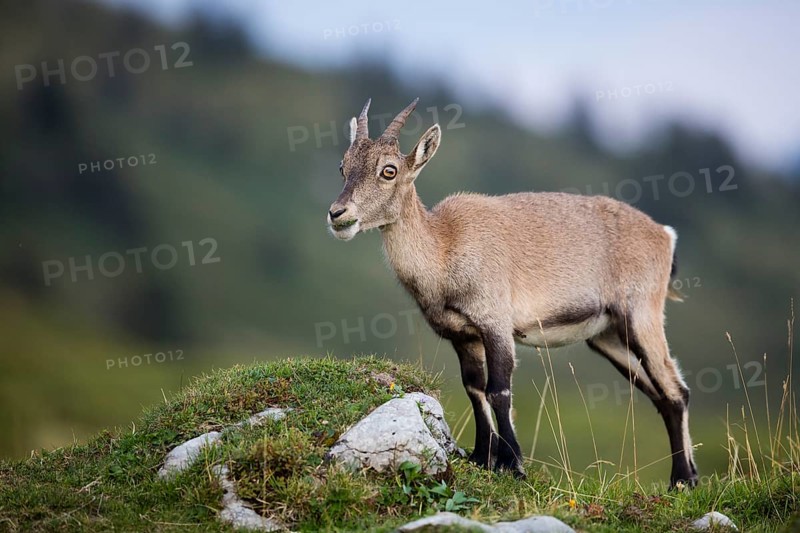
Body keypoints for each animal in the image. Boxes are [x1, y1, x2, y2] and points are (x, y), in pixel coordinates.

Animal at [327, 98, 697, 488]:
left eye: (389, 170)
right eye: (343, 166)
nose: (338, 214)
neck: (445, 248)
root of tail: (665, 236)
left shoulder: (495, 322)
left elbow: (498, 389)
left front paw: (513, 464)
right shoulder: (463, 334)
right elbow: (474, 387)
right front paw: (481, 457)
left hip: (641, 315)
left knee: (675, 390)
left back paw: (682, 480)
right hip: (608, 335)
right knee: (659, 393)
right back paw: (685, 477)